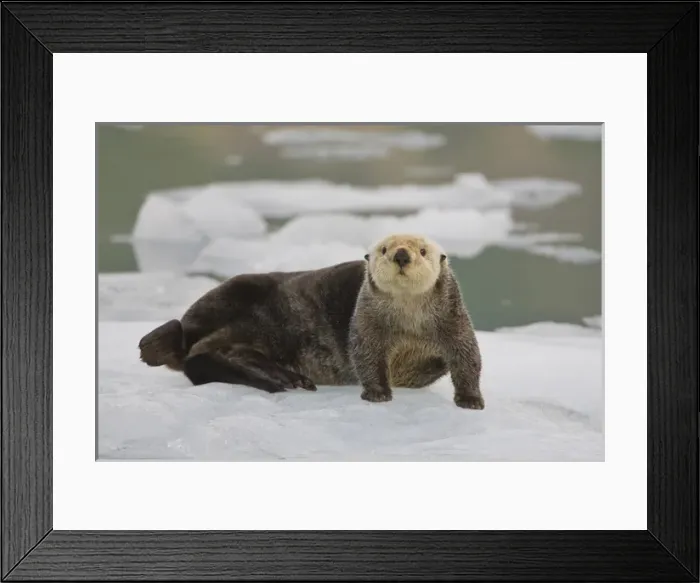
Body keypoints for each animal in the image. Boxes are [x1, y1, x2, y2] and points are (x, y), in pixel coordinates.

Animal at [138, 233, 483, 409]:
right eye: (385, 249)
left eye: (423, 251)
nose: (401, 255)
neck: (407, 319)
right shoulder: (365, 324)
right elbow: (367, 353)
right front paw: (377, 393)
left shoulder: (452, 319)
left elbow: (465, 355)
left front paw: (470, 399)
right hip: (235, 291)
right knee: (197, 351)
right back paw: (286, 379)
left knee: (215, 353)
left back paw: (287, 378)